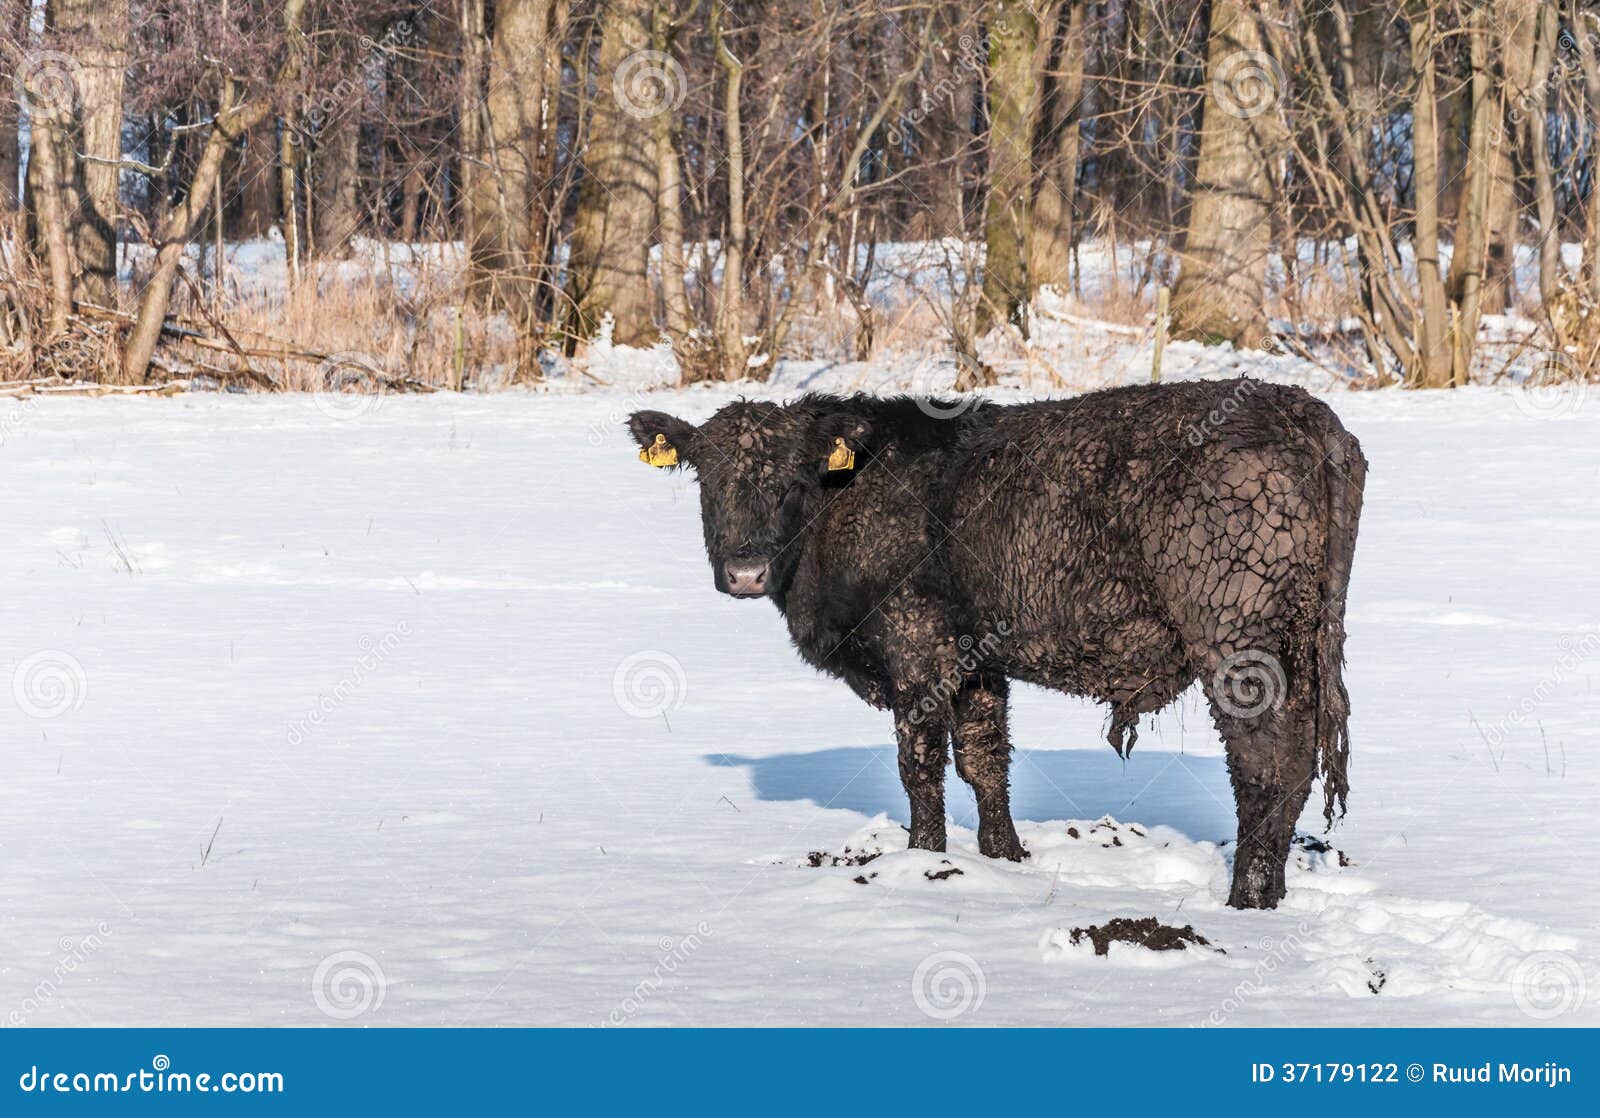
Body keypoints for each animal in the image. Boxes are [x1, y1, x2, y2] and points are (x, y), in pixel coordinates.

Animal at [624, 379, 1363, 908]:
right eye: (707, 476)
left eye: (792, 478)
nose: (745, 571)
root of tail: (1298, 410)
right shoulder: (978, 663)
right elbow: (985, 761)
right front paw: (1004, 858)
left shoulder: (916, 648)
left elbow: (920, 765)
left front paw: (923, 858)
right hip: (1301, 645)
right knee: (1297, 761)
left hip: (1237, 640)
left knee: (1265, 763)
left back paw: (1247, 899)